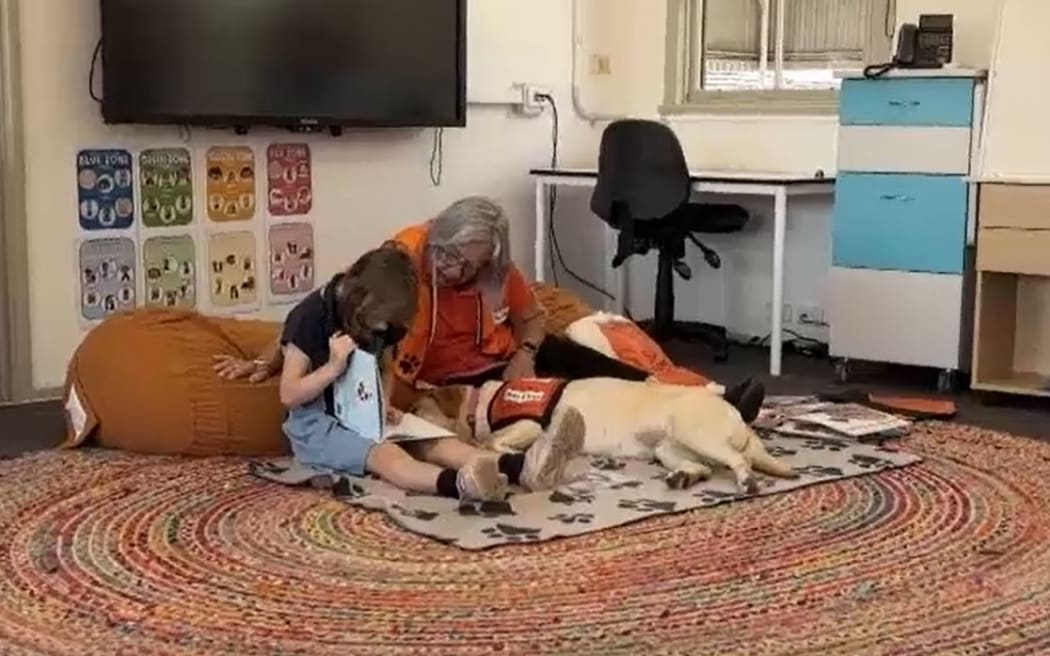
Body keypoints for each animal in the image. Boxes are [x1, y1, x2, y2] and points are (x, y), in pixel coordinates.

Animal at [409, 373, 793, 491]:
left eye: (416, 411)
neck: (481, 402)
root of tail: (740, 419)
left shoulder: (530, 423)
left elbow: (493, 440)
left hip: (693, 430)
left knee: (739, 460)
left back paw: (746, 480)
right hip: (668, 449)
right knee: (701, 468)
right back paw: (683, 478)